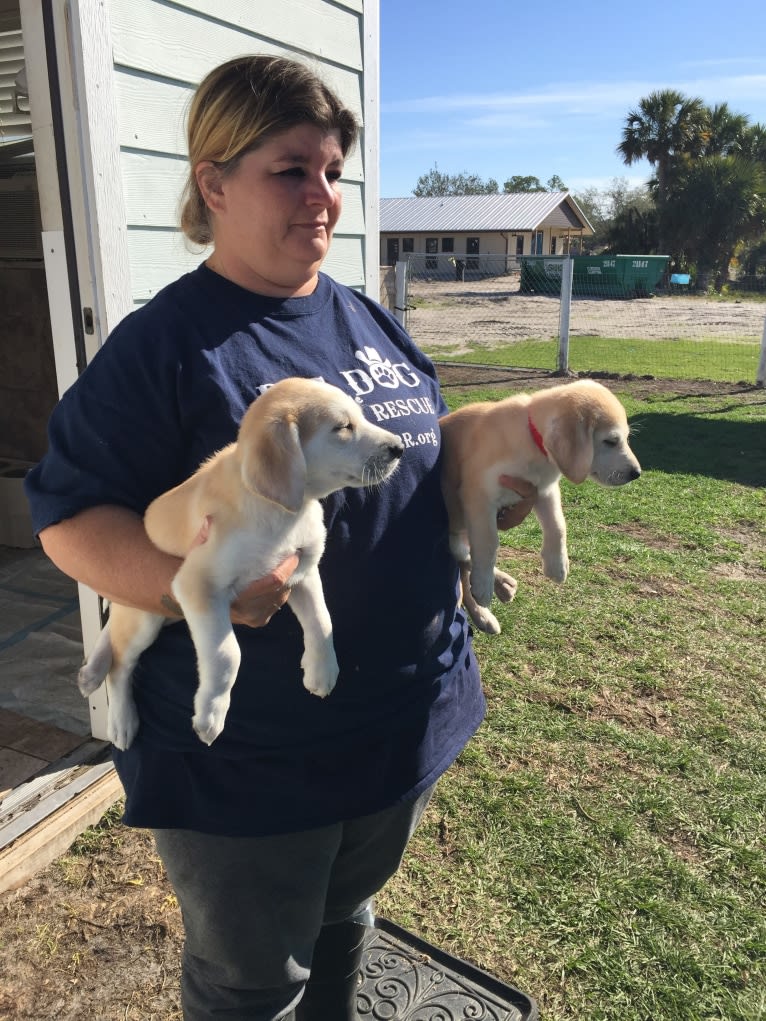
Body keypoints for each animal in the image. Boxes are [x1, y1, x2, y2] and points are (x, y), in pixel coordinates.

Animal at [78, 379, 404, 747]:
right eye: (342, 427)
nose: (399, 448)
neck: (280, 513)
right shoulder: (199, 586)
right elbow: (227, 654)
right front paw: (210, 714)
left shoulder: (303, 573)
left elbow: (322, 620)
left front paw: (322, 671)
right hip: (146, 617)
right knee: (120, 665)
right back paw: (120, 718)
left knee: (111, 632)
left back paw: (90, 671)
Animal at [437, 379, 641, 633]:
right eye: (611, 441)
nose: (636, 473)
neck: (532, 441)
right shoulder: (479, 495)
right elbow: (488, 543)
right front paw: (483, 584)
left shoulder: (544, 491)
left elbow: (558, 526)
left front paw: (557, 565)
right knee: (465, 562)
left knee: (464, 564)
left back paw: (497, 593)